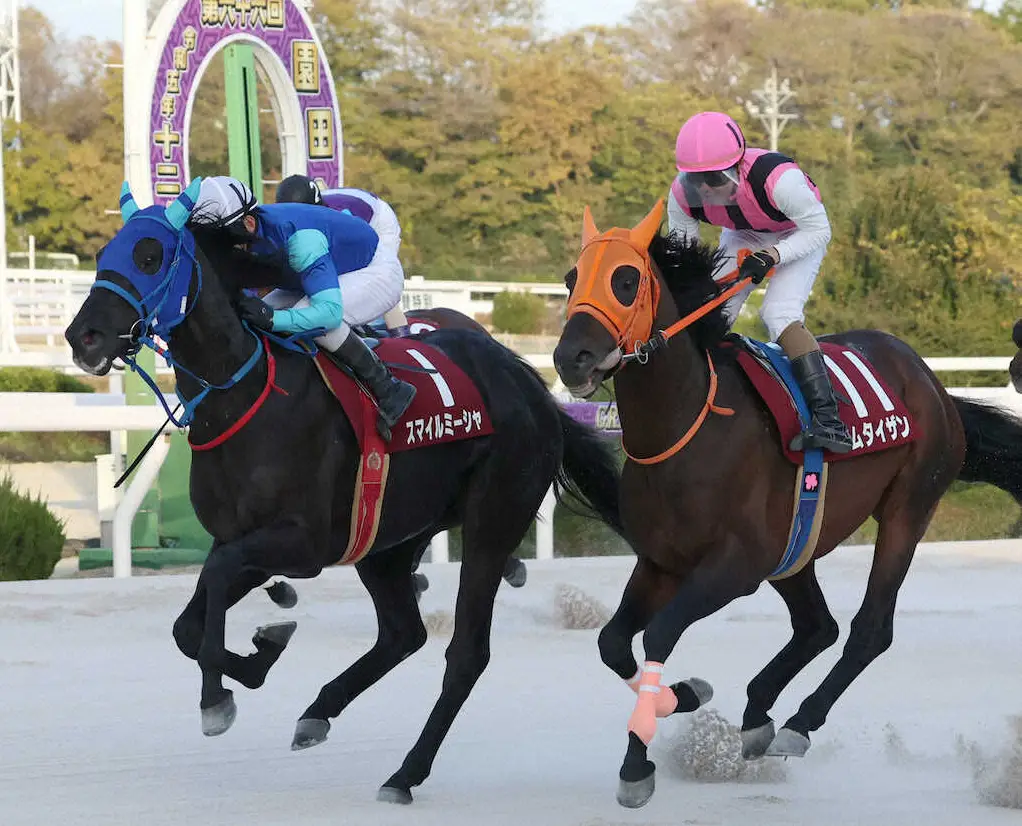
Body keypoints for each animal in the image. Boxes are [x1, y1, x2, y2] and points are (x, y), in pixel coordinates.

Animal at [65, 181, 621, 805]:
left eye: (149, 256)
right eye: (106, 253)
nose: (82, 337)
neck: (245, 393)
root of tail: (531, 385)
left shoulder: (300, 544)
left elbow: (214, 596)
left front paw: (221, 695)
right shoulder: (241, 539)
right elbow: (189, 625)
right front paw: (259, 656)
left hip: (491, 524)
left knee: (465, 653)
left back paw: (405, 773)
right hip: (389, 540)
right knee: (403, 633)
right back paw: (319, 712)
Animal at [555, 200, 1021, 805]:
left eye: (627, 280)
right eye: (572, 279)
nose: (572, 358)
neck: (686, 427)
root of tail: (933, 385)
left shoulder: (734, 567)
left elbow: (658, 634)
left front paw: (638, 762)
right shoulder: (661, 562)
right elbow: (613, 642)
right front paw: (685, 697)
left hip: (908, 505)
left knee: (869, 629)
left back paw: (800, 721)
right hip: (797, 541)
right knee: (818, 626)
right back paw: (758, 715)